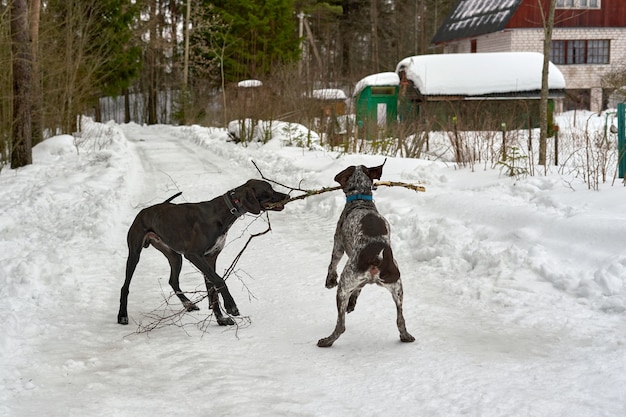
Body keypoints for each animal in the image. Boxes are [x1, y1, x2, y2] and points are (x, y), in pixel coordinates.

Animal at [116, 179, 286, 324]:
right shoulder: (194, 255)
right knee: (125, 286)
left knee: (173, 280)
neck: (224, 211)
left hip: (175, 256)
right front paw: (231, 306)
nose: (288, 196)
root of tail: (144, 211)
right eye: (269, 190)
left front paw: (221, 319)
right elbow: (220, 280)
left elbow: (212, 288)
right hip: (135, 253)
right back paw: (122, 315)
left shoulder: (209, 258)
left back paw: (189, 304)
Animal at [316, 162, 414, 348]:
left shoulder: (338, 243)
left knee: (341, 325)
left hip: (343, 286)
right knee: (400, 319)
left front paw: (329, 280)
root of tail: (378, 256)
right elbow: (359, 289)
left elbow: (332, 264)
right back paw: (405, 336)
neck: (361, 200)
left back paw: (327, 341)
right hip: (398, 289)